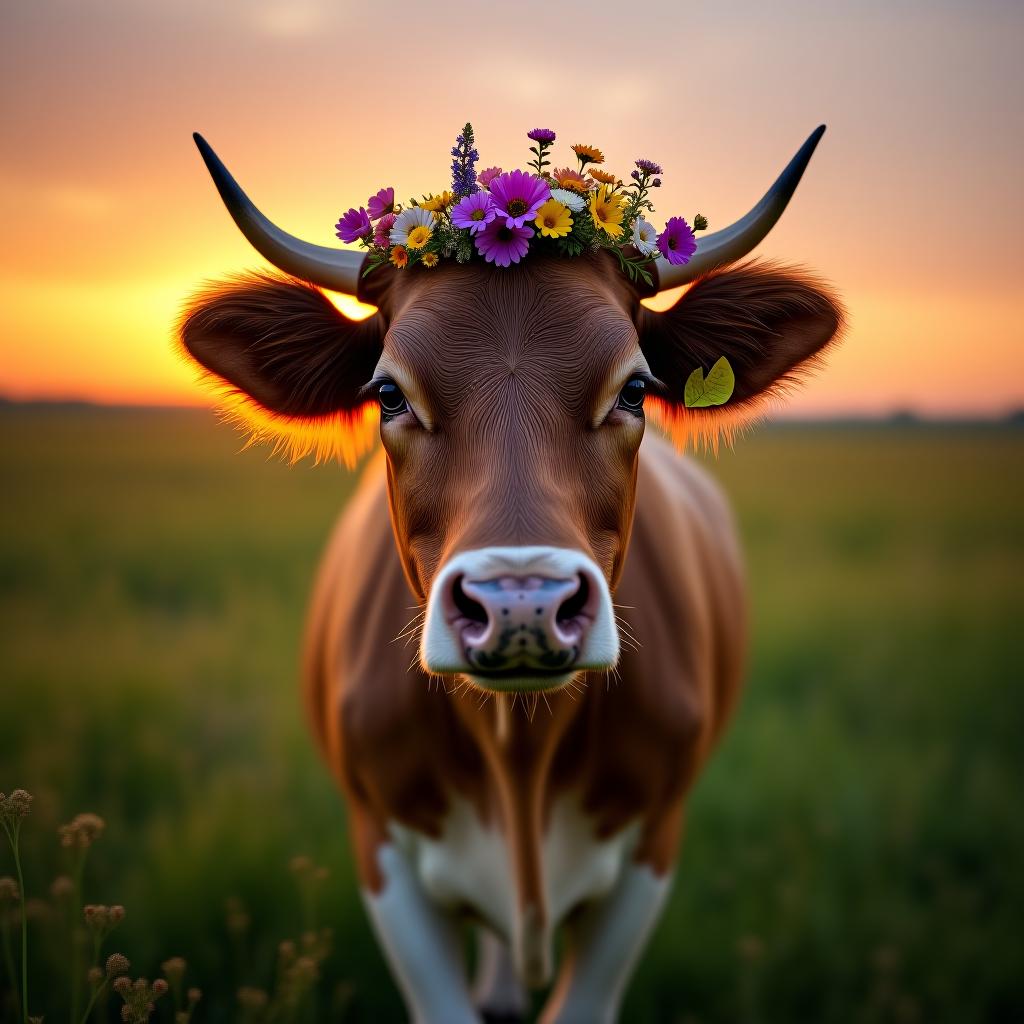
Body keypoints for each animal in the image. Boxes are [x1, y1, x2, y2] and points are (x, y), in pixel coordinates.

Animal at [180, 130, 843, 1024]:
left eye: (636, 388)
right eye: (387, 393)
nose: (521, 604)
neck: (519, 758)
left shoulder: (653, 844)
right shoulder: (380, 847)